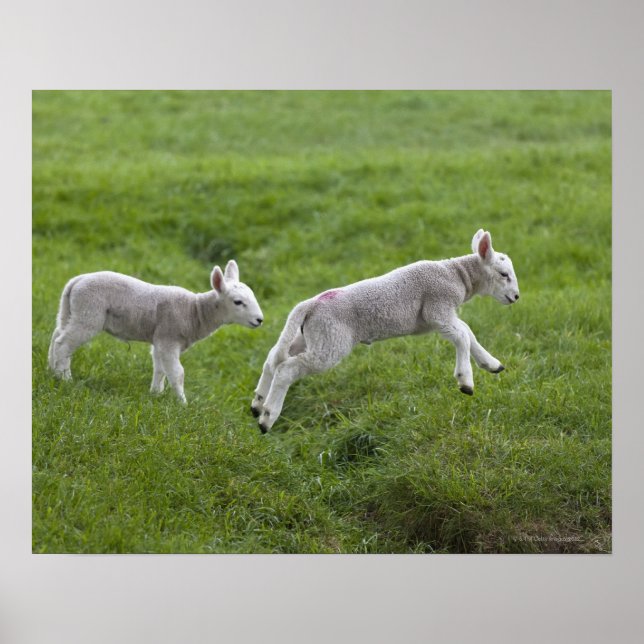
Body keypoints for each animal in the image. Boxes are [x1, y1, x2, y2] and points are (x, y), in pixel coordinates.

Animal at [48, 260, 264, 403]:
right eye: (238, 302)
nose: (259, 320)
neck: (195, 311)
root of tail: (76, 281)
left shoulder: (160, 340)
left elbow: (160, 369)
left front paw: (156, 394)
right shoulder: (169, 338)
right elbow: (177, 373)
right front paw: (182, 404)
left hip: (71, 309)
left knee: (56, 335)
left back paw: (51, 370)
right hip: (89, 313)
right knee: (64, 344)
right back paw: (65, 379)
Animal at [251, 229, 520, 433]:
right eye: (504, 274)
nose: (516, 297)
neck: (456, 275)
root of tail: (310, 304)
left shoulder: (441, 316)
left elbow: (467, 332)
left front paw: (491, 363)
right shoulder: (437, 308)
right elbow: (463, 334)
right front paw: (465, 381)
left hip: (310, 336)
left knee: (273, 358)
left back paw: (257, 404)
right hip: (330, 341)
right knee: (287, 369)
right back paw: (268, 418)